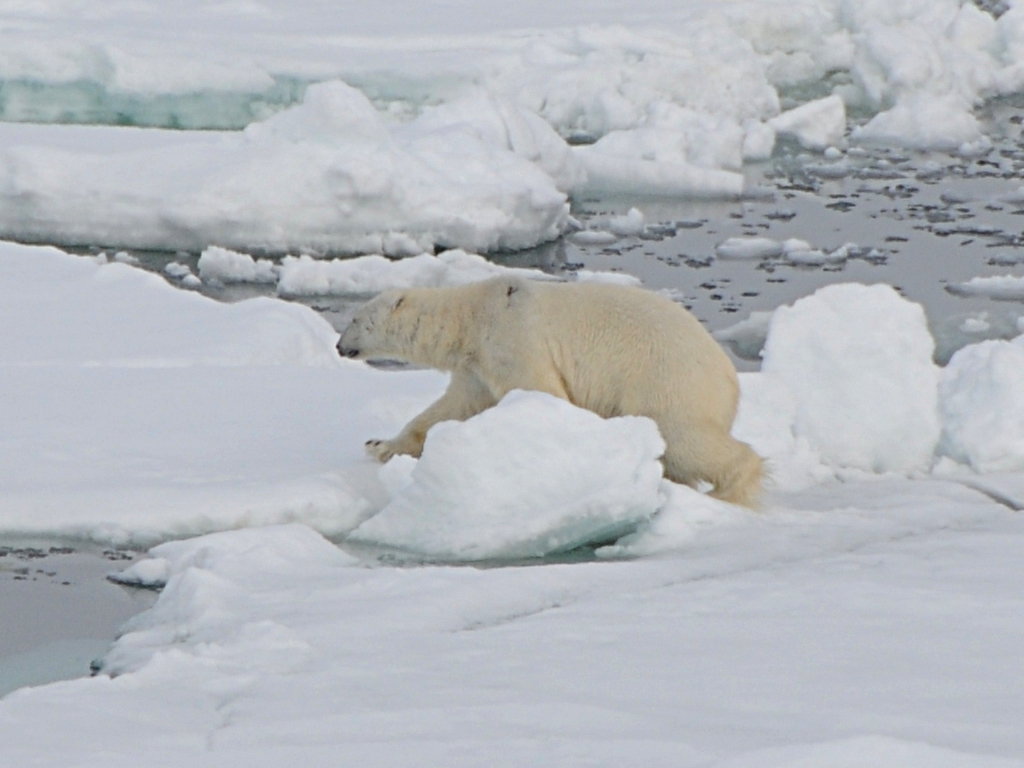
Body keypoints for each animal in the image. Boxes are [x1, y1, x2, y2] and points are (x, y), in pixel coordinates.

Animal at [339, 278, 765, 512]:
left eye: (355, 319)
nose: (340, 346)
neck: (473, 315)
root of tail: (729, 378)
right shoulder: (477, 365)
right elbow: (451, 408)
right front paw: (379, 445)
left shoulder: (514, 335)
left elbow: (541, 389)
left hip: (668, 380)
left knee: (683, 438)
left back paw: (731, 489)